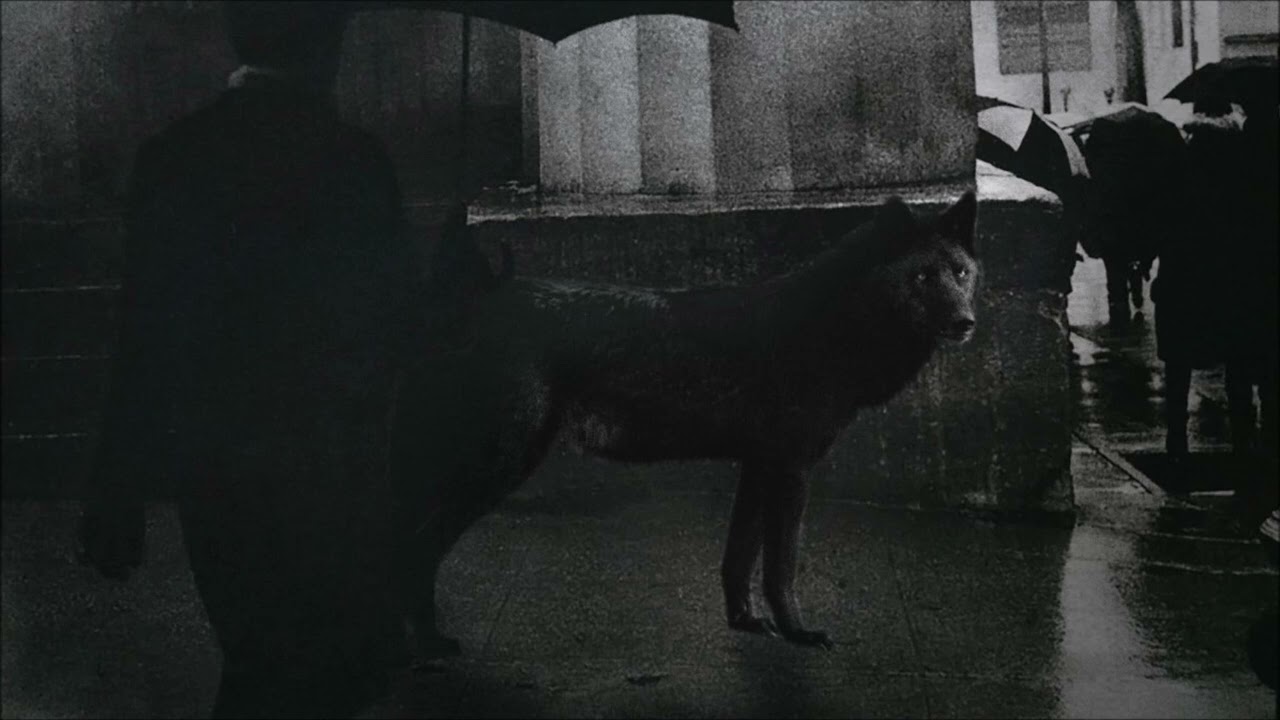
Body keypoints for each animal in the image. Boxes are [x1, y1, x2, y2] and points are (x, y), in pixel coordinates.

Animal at [393, 192, 979, 655]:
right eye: (921, 276)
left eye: (961, 273)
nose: (966, 323)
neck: (832, 326)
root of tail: (485, 297)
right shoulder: (791, 470)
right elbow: (781, 566)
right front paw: (798, 633)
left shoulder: (759, 465)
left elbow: (739, 556)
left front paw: (746, 622)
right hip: (499, 463)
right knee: (417, 542)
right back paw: (427, 642)